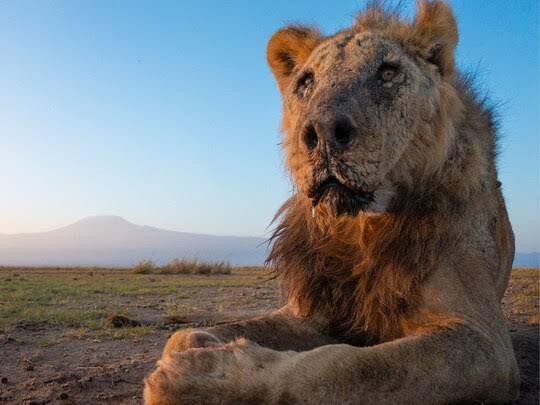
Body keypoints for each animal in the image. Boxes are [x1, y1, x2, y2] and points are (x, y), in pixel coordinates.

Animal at [142, 1, 520, 402]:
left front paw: (203, 378)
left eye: (388, 72)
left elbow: (347, 368)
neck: (358, 227)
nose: (322, 132)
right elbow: (184, 334)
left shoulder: (483, 340)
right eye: (306, 82)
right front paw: (199, 348)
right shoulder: (311, 310)